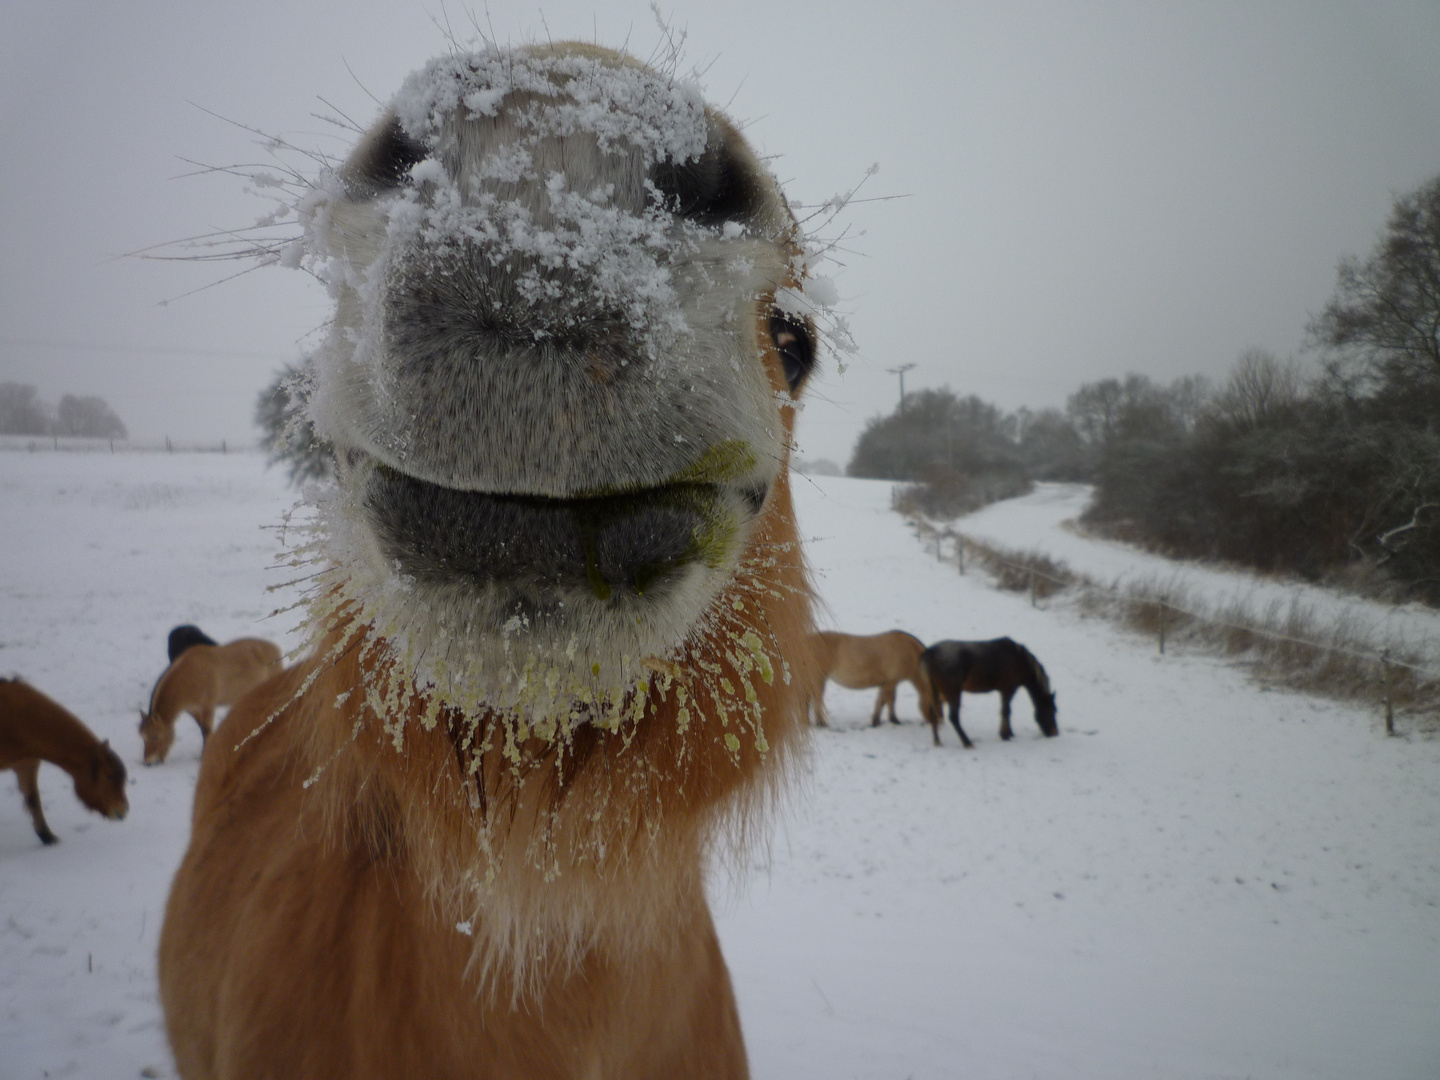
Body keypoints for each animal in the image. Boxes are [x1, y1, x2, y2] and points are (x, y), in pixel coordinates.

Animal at [0, 676, 128, 846]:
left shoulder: (27, 765)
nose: (122, 811)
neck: (14, 719)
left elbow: (33, 799)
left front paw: (47, 837)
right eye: (108, 776)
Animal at [140, 639, 283, 766]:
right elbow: (203, 730)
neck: (190, 675)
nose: (148, 762)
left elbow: (207, 730)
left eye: (156, 736)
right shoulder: (194, 710)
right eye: (142, 736)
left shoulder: (208, 707)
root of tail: (274, 648)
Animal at [910, 639, 1059, 748]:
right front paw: (1005, 735)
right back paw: (967, 742)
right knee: (954, 718)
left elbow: (1006, 711)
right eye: (1051, 710)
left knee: (933, 713)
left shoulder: (1005, 691)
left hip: (935, 691)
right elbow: (1006, 711)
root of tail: (929, 653)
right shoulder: (1008, 689)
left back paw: (937, 741)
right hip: (953, 693)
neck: (1019, 660)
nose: (1054, 733)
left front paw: (1009, 733)